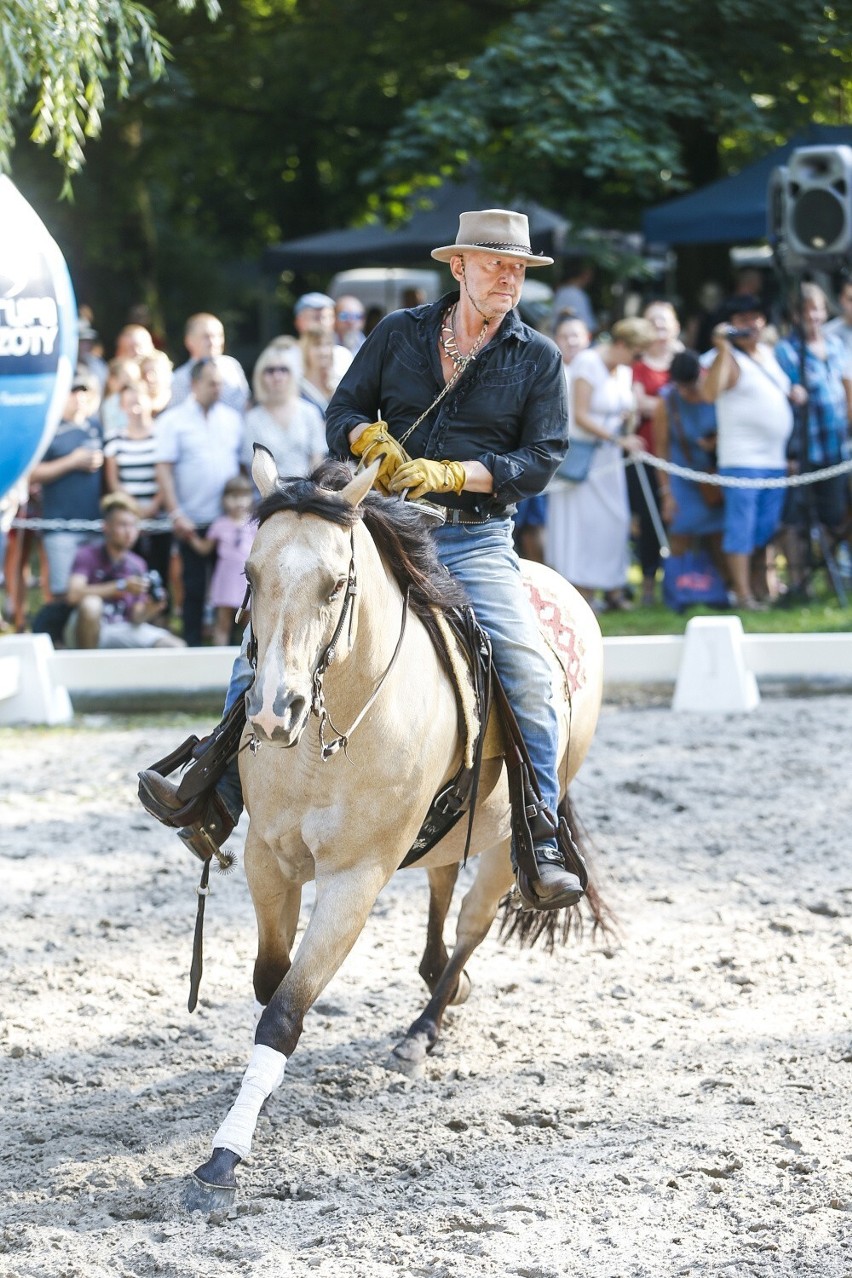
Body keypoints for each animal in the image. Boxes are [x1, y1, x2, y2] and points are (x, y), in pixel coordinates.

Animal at [185, 449, 605, 1206]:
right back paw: (439, 988)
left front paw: (224, 1157)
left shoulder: (355, 881)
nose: (271, 712)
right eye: (250, 574)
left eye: (336, 583)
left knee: (470, 925)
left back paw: (423, 1028)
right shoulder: (268, 856)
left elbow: (284, 1008)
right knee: (440, 891)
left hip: (506, 849)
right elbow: (270, 978)